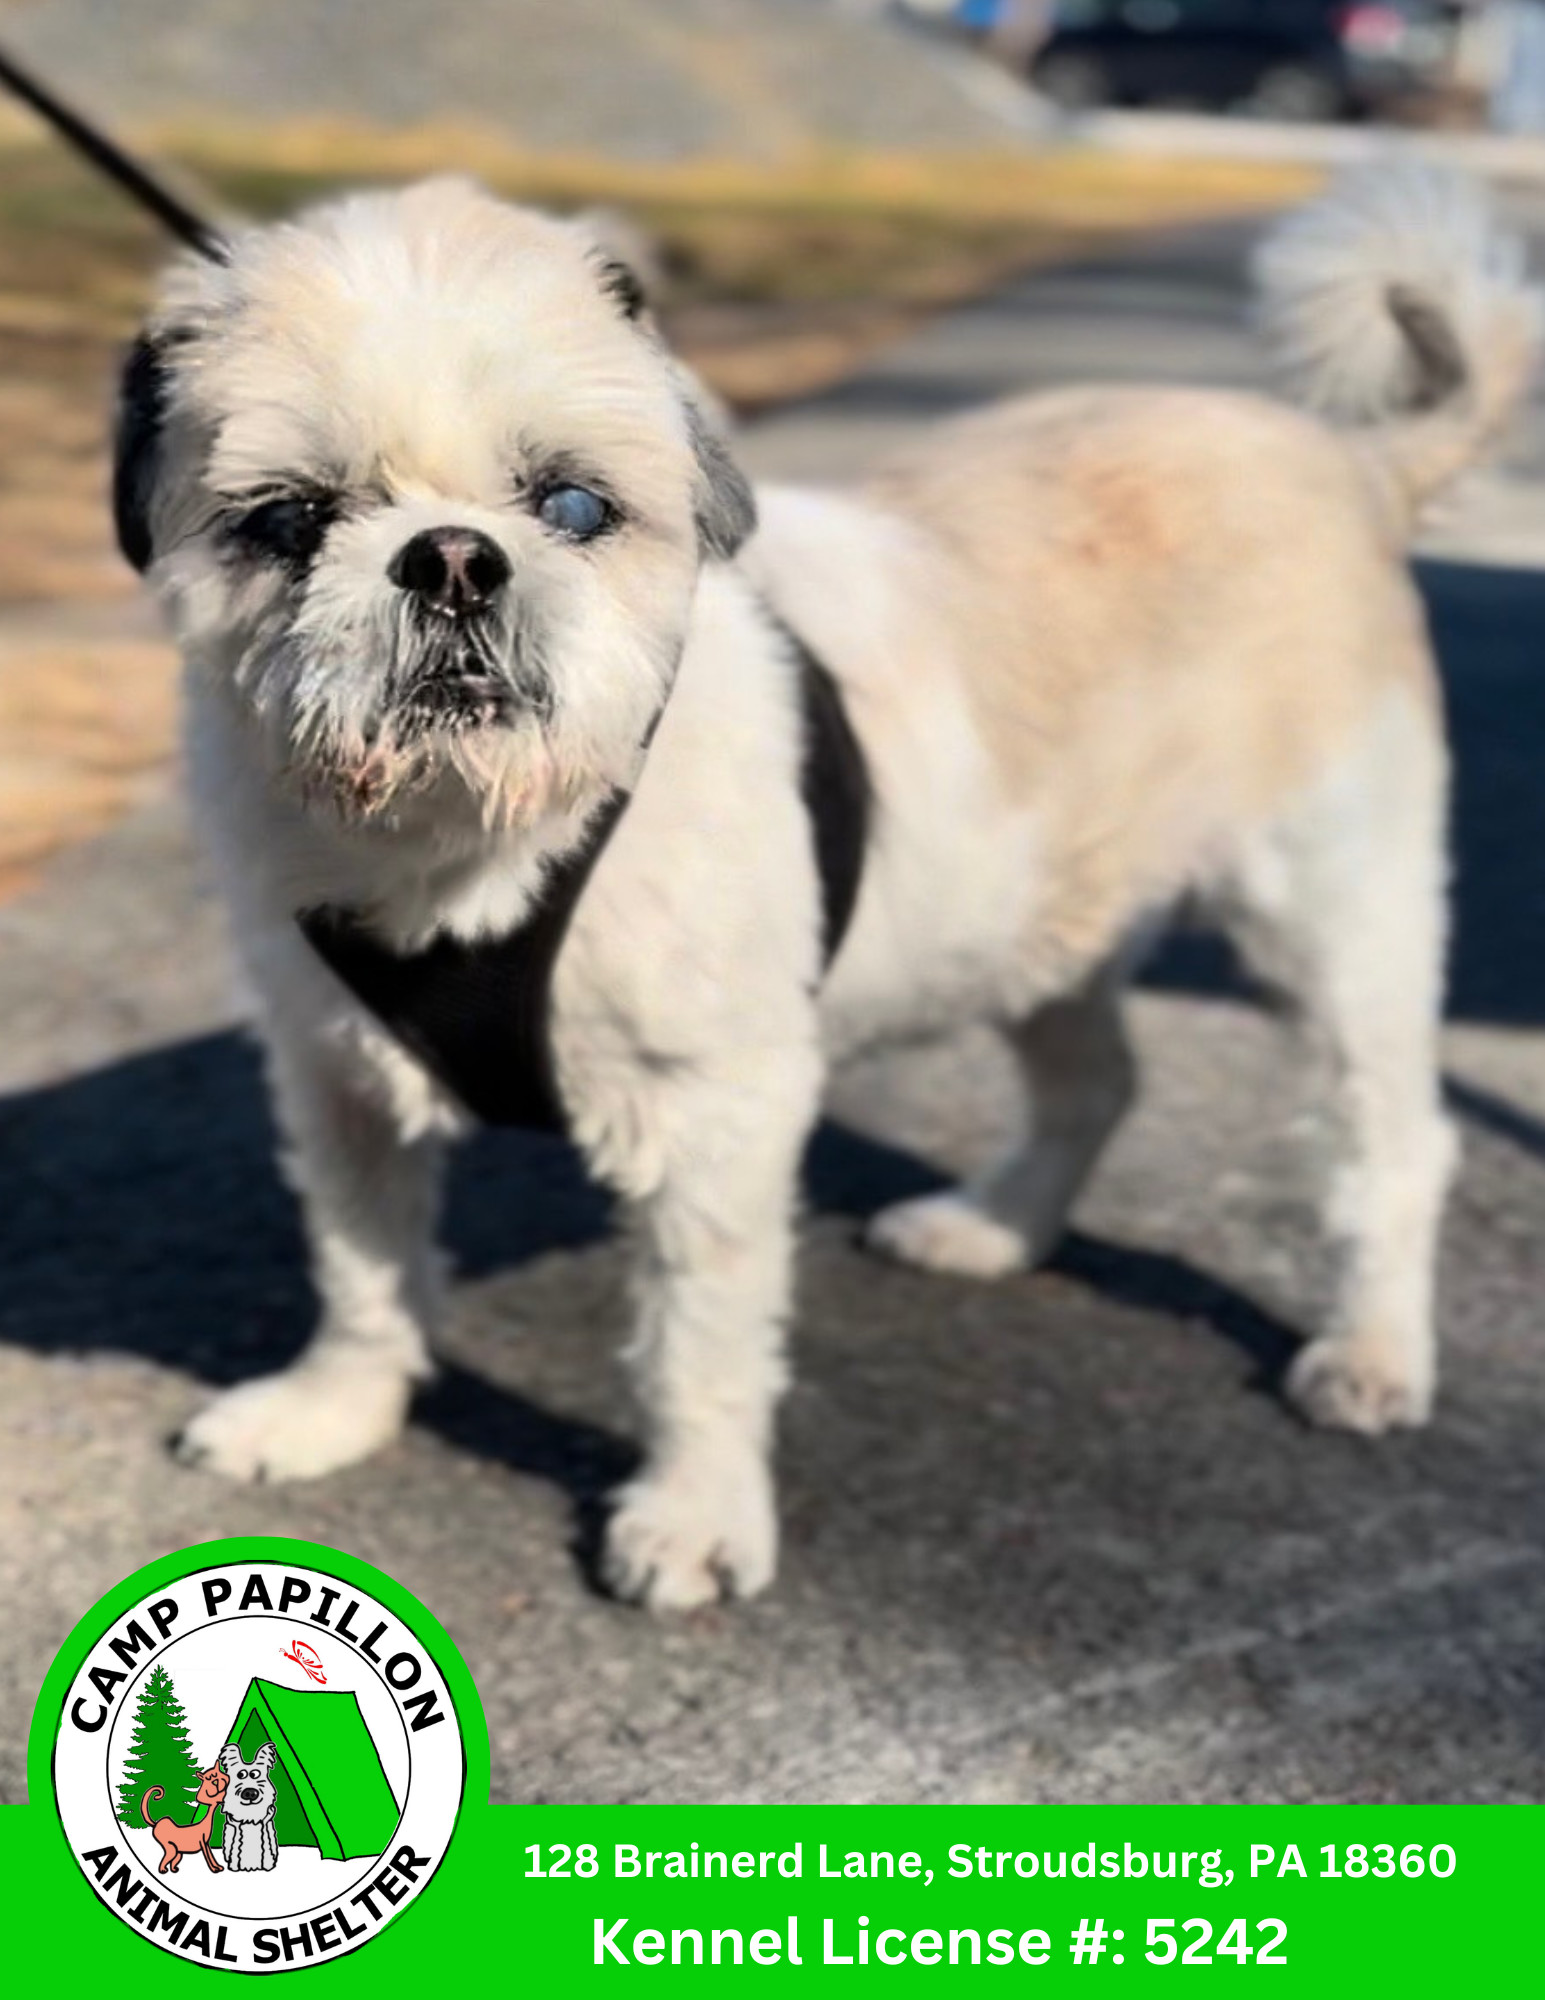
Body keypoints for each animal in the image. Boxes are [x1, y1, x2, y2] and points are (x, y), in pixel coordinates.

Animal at [120, 172, 1528, 1608]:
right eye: (290, 520)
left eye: (570, 507)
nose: (453, 556)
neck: (467, 844)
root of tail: (1350, 465)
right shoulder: (335, 1073)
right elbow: (364, 1262)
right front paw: (334, 1406)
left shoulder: (717, 1115)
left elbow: (698, 1341)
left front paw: (692, 1514)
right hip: (1030, 917)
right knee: (1096, 1080)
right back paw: (995, 1225)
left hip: (1337, 917)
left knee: (1394, 1142)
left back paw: (1374, 1353)